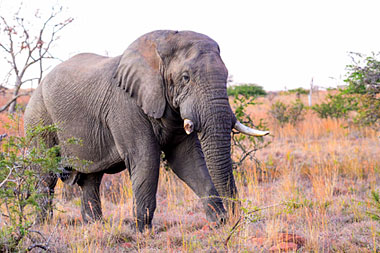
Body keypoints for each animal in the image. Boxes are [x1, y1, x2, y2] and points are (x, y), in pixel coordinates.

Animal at [23, 30, 268, 231]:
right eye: (185, 78)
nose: (235, 220)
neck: (160, 46)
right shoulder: (124, 104)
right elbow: (145, 158)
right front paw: (141, 231)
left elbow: (186, 159)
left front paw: (219, 223)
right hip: (38, 119)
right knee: (45, 176)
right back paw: (42, 227)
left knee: (92, 178)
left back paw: (95, 226)